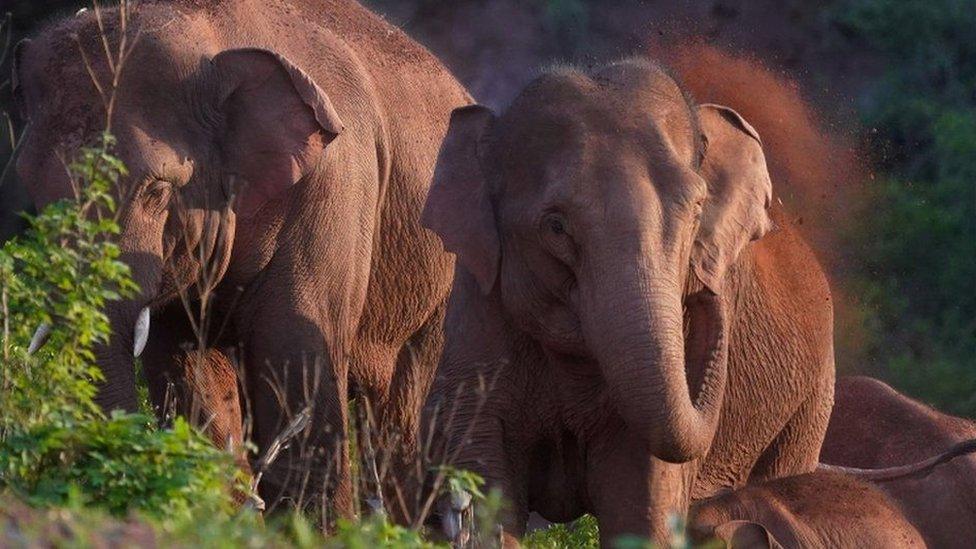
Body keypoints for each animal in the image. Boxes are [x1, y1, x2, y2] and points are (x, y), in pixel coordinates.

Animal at [12, 0, 469, 521]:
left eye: (155, 191)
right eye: (31, 187)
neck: (209, 34)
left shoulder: (333, 184)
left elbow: (293, 351)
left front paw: (317, 528)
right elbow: (186, 366)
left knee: (407, 410)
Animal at [420, 58, 835, 546]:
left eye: (696, 212)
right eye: (555, 226)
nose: (707, 289)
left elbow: (641, 502)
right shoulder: (477, 316)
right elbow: (488, 489)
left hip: (811, 402)